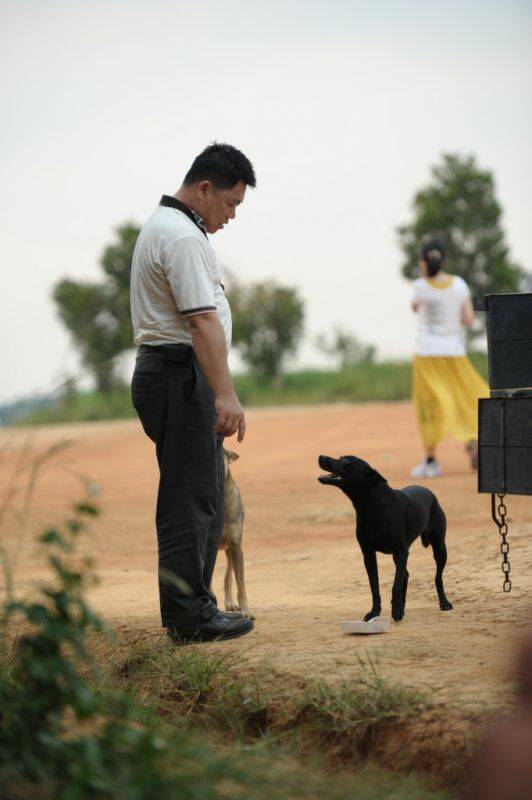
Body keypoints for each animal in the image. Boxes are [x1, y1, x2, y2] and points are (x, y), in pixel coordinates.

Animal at [318, 454, 450, 620]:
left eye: (345, 461)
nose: (320, 456)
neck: (372, 505)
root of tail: (429, 492)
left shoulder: (401, 552)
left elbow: (395, 585)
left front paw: (396, 612)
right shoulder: (369, 554)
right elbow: (375, 587)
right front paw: (375, 612)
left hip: (439, 548)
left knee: (437, 577)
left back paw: (444, 603)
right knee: (405, 575)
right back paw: (402, 606)